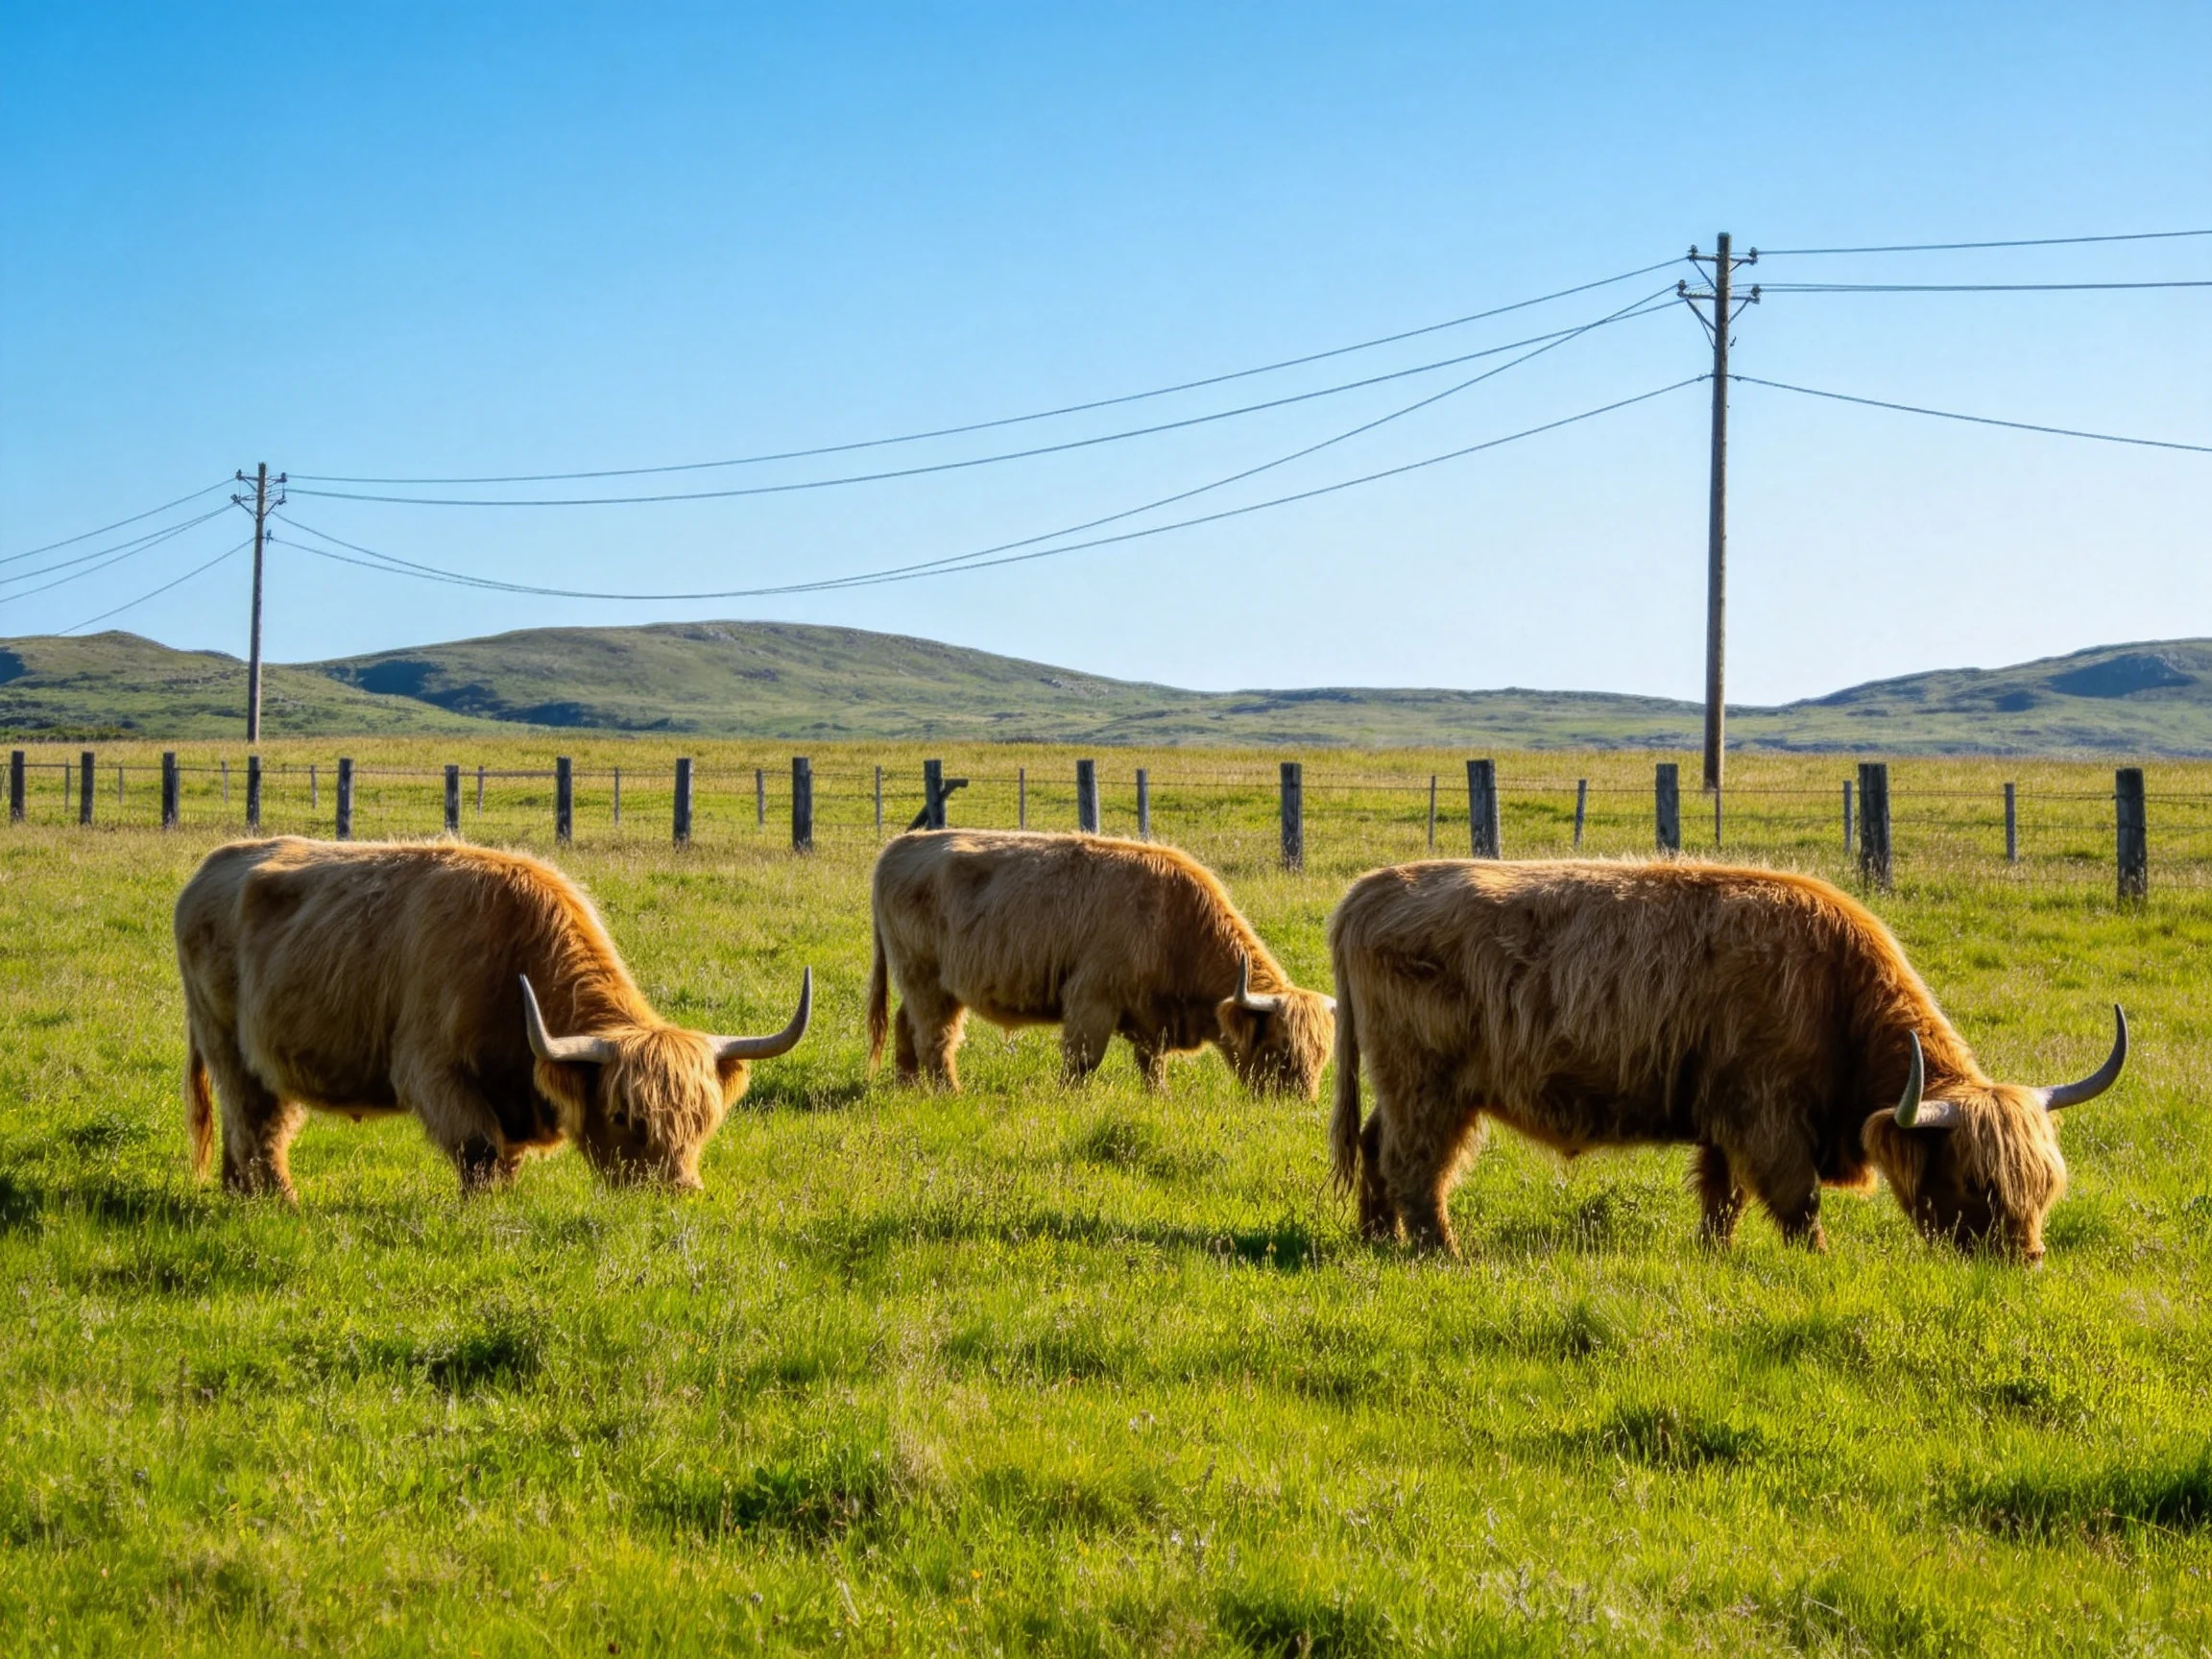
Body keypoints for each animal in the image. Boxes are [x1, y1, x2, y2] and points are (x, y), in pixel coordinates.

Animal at [174, 837, 811, 1200]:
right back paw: (280, 1203)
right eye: (624, 1116)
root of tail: (215, 863)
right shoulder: (432, 1071)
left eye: (704, 1120)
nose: (676, 1193)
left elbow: (506, 1156)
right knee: (256, 1126)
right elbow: (481, 1152)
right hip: (226, 1044)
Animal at [866, 829, 1334, 1096]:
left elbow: (1152, 1065)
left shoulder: (1152, 1017)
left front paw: (1159, 1099)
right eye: (1281, 1050)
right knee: (936, 1037)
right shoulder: (1091, 999)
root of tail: (900, 845)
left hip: (926, 984)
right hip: (924, 978)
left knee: (909, 1027)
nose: (1300, 1103)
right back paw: (949, 1093)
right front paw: (1071, 1099)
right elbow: (1082, 1062)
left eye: (1322, 1056)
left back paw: (907, 1087)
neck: (1174, 919)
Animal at [1327, 858, 2125, 1262]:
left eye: (2045, 1187)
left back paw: (1377, 1238)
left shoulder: (1723, 1119)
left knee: (1376, 1144)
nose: (2025, 1260)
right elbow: (1796, 1201)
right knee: (1414, 1163)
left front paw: (1715, 1253)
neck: (1835, 992)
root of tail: (1371, 887)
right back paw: (1440, 1251)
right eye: (1975, 1181)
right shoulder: (1765, 1114)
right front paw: (1818, 1264)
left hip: (1403, 1083)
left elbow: (1723, 1197)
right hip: (1429, 1082)